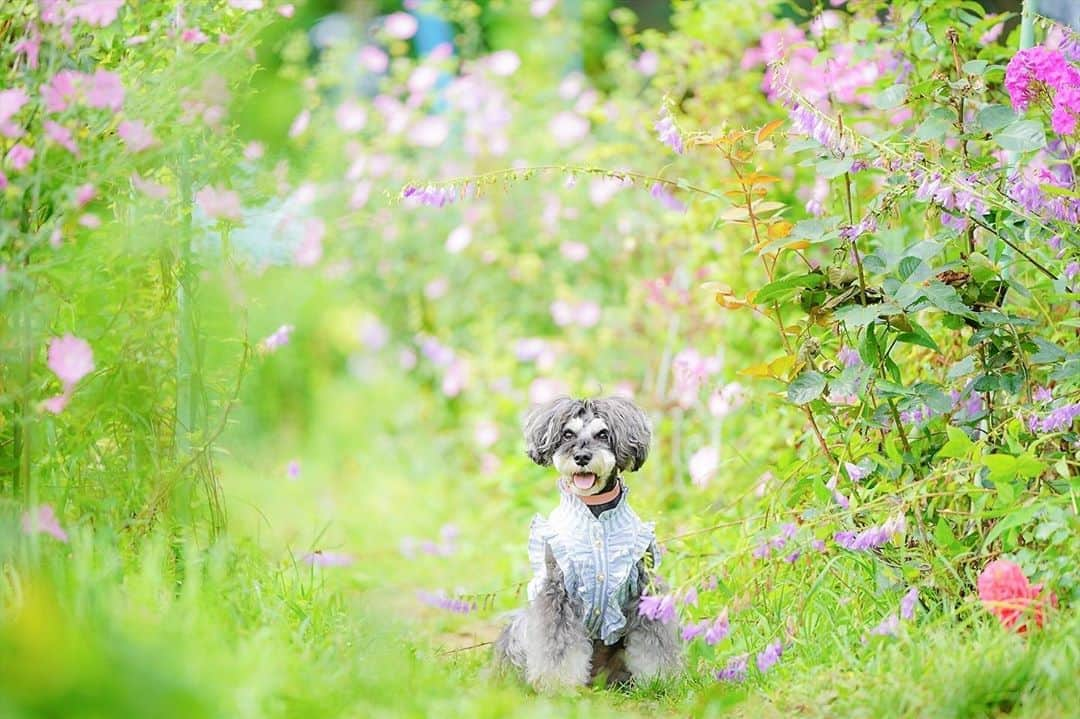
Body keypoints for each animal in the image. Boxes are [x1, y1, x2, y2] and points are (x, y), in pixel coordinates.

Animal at [492, 395, 678, 686]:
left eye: (603, 434)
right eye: (568, 434)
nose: (581, 456)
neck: (596, 511)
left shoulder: (644, 586)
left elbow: (654, 642)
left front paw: (659, 679)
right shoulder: (557, 591)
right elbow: (557, 645)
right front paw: (557, 684)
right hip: (521, 626)